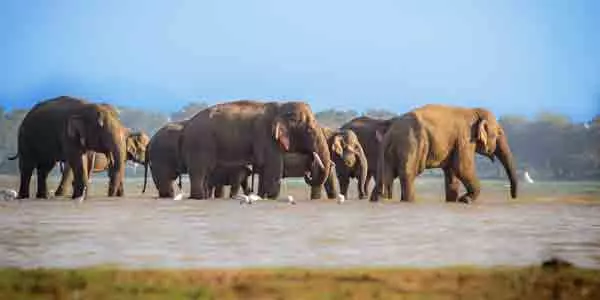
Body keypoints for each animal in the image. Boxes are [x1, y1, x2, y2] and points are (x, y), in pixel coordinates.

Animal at [180, 100, 330, 199]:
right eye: (310, 130)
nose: (307, 174)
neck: (281, 106)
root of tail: (186, 126)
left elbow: (264, 170)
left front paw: (261, 196)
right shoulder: (267, 138)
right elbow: (272, 170)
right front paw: (270, 197)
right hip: (199, 144)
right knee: (200, 174)